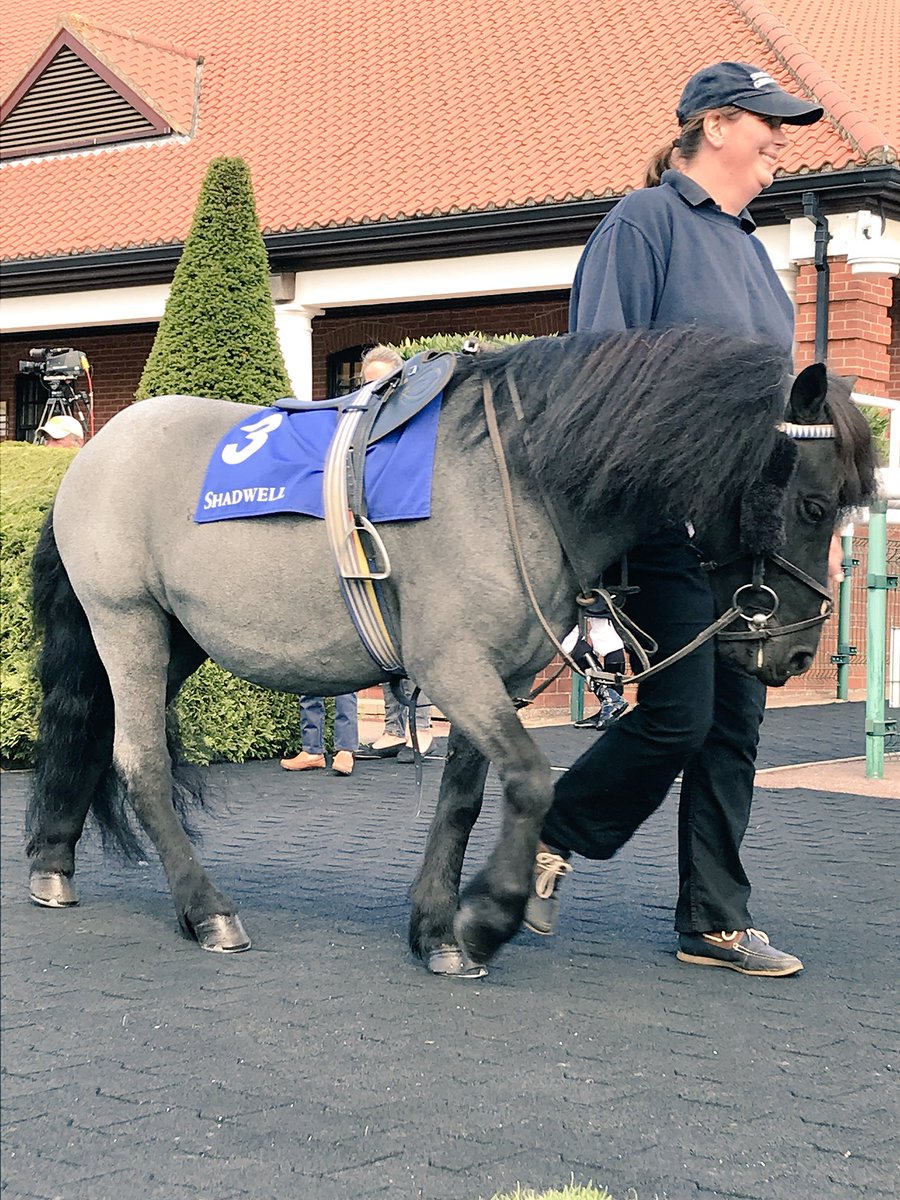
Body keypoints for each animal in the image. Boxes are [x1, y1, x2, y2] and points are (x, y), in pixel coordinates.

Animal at [25, 328, 877, 977]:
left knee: (95, 735)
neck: (517, 480)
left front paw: (437, 926)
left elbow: (462, 797)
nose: (795, 653)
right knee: (141, 760)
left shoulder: (496, 672)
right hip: (127, 621)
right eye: (812, 504)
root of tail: (92, 455)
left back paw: (53, 863)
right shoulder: (453, 666)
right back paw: (207, 910)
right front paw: (486, 917)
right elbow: (530, 779)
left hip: (176, 639)